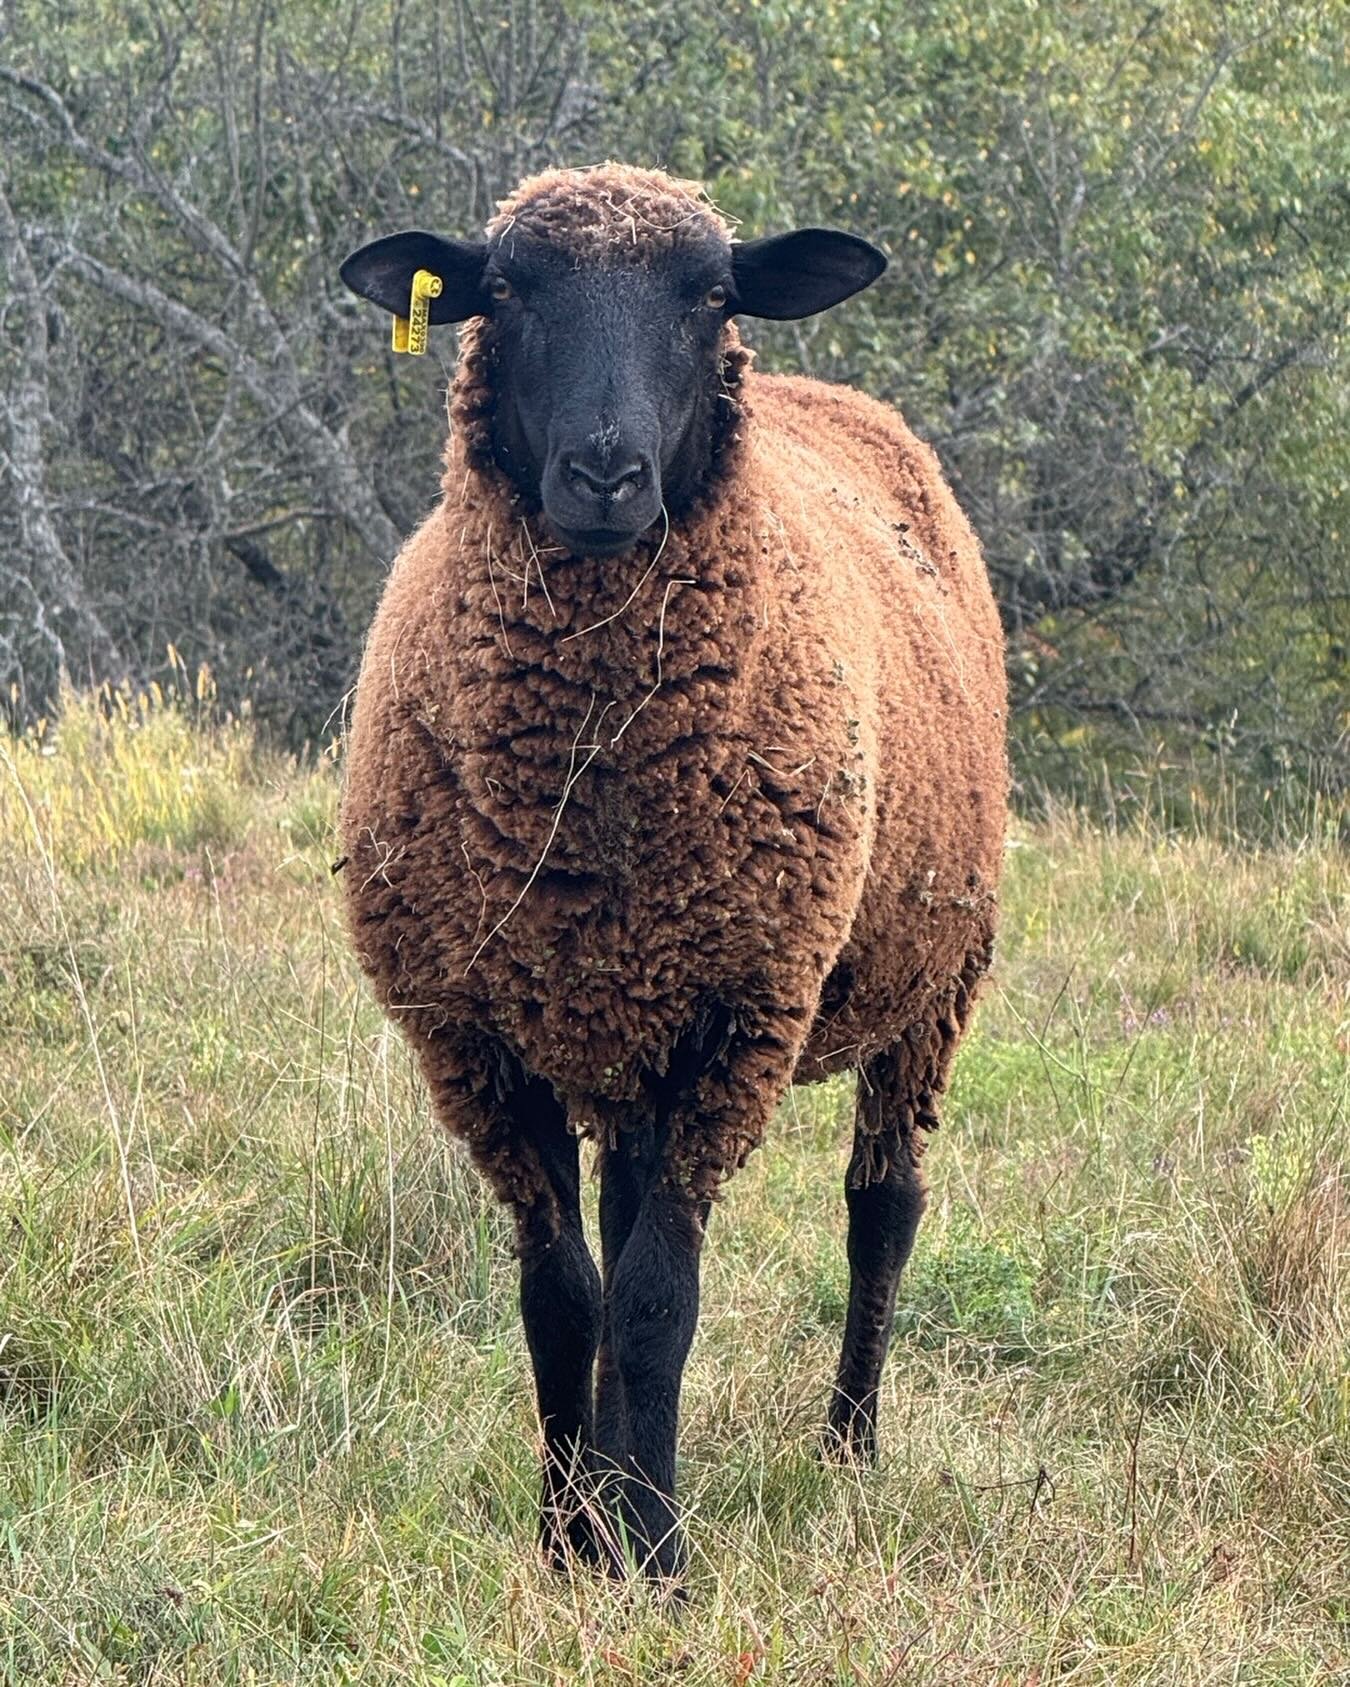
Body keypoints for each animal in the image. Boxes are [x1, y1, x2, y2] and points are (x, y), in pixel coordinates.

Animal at [338, 163, 1007, 1587]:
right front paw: (566, 1538)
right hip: (623, 1014)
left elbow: (656, 1297)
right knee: (626, 1216)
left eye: (709, 297)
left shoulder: (736, 1020)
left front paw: (653, 1552)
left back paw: (848, 1447)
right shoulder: (481, 1041)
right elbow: (562, 1296)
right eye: (506, 289)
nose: (605, 473)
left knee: (883, 1206)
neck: (590, 796)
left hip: (929, 982)